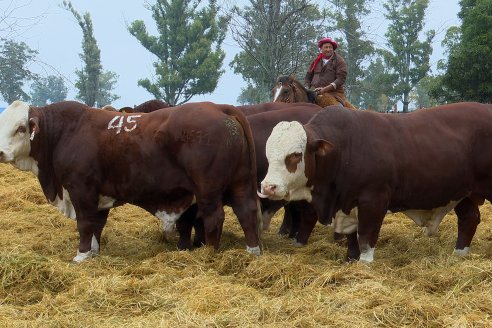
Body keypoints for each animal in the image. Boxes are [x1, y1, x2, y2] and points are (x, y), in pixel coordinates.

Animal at [0, 100, 262, 262]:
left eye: (21, 128)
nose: (1, 152)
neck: (64, 133)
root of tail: (219, 107)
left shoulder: (81, 188)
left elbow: (85, 223)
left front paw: (81, 255)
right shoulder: (99, 195)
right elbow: (96, 225)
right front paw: (93, 252)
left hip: (208, 189)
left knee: (214, 217)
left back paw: (209, 254)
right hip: (240, 183)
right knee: (247, 212)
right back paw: (252, 251)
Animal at [260, 104, 490, 262]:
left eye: (295, 155)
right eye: (268, 154)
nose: (268, 186)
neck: (344, 148)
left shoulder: (373, 200)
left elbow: (366, 236)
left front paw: (364, 262)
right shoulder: (347, 203)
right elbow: (352, 237)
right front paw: (350, 259)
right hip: (463, 193)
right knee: (469, 219)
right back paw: (459, 253)